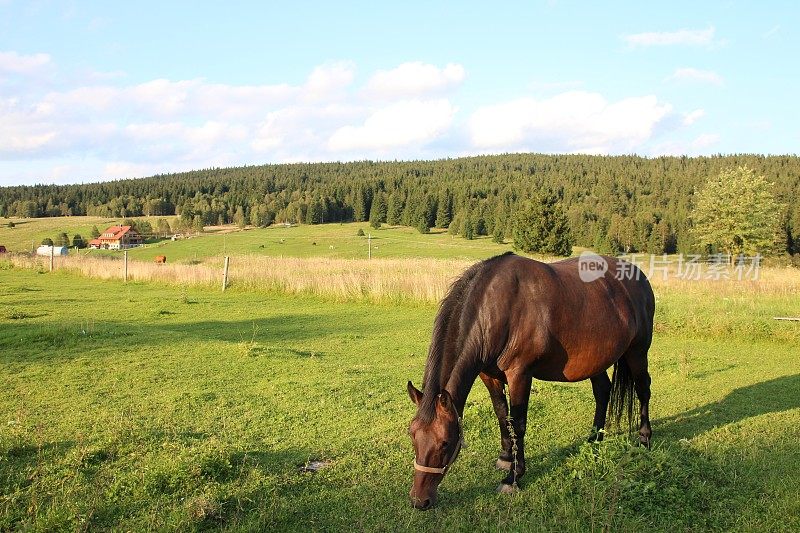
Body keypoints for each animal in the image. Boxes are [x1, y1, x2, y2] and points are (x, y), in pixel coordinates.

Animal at [410, 251, 652, 510]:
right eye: (412, 436)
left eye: (445, 442)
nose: (419, 500)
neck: (496, 308)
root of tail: (639, 277)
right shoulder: (488, 375)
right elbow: (501, 413)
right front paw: (506, 458)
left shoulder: (520, 374)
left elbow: (518, 424)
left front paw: (513, 477)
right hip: (596, 360)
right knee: (603, 392)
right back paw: (594, 439)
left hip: (637, 352)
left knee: (642, 390)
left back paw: (644, 439)